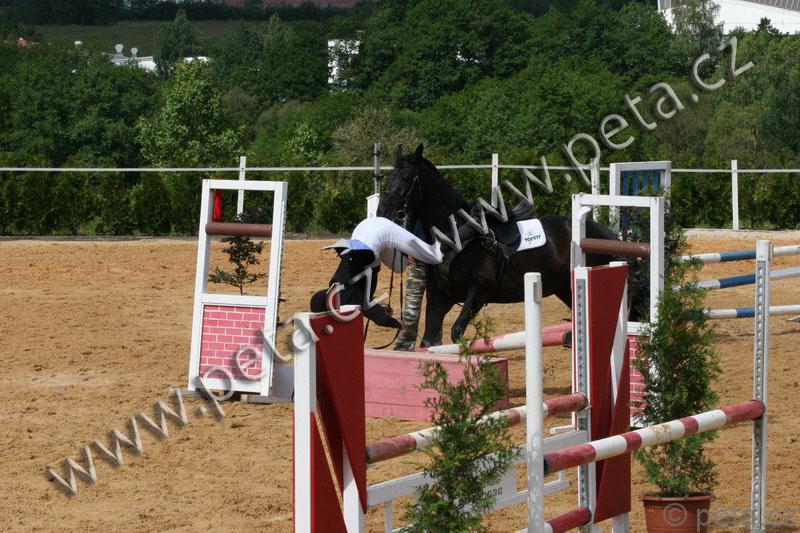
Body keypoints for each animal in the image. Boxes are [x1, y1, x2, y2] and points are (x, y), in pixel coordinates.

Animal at [377, 144, 629, 346]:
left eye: (407, 178)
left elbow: (457, 333)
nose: (383, 212)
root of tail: (606, 235)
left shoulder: (479, 291)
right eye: (390, 176)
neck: (457, 234)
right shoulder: (440, 296)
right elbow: (430, 339)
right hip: (565, 289)